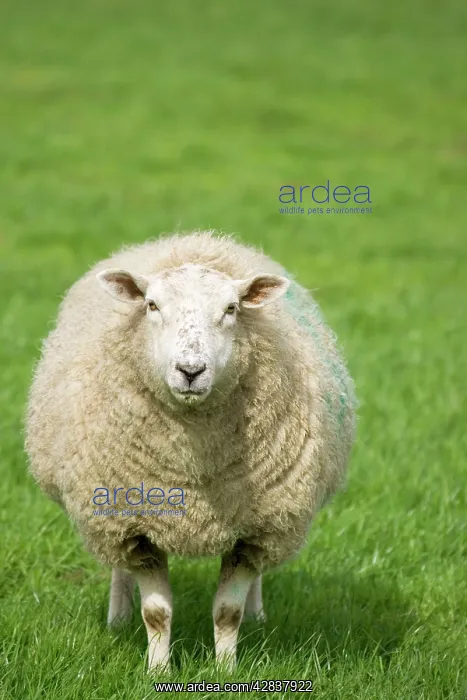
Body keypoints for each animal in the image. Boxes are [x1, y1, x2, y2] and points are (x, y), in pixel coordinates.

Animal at [25, 231, 357, 672]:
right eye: (152, 305)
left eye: (231, 309)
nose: (190, 371)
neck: (194, 471)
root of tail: (192, 240)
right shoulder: (135, 525)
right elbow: (157, 612)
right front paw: (157, 671)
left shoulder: (257, 530)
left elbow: (227, 612)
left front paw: (226, 670)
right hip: (108, 513)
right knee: (117, 567)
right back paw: (118, 617)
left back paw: (258, 614)